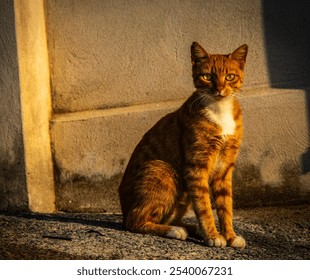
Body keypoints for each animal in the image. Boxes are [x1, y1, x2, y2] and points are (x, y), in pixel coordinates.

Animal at [117, 41, 248, 247]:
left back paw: (189, 228)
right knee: (134, 220)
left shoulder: (225, 168)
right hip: (164, 171)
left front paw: (230, 236)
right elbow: (204, 206)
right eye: (207, 76)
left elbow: (225, 206)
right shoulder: (196, 167)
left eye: (230, 77)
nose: (219, 89)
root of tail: (123, 207)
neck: (219, 110)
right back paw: (175, 230)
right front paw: (212, 235)